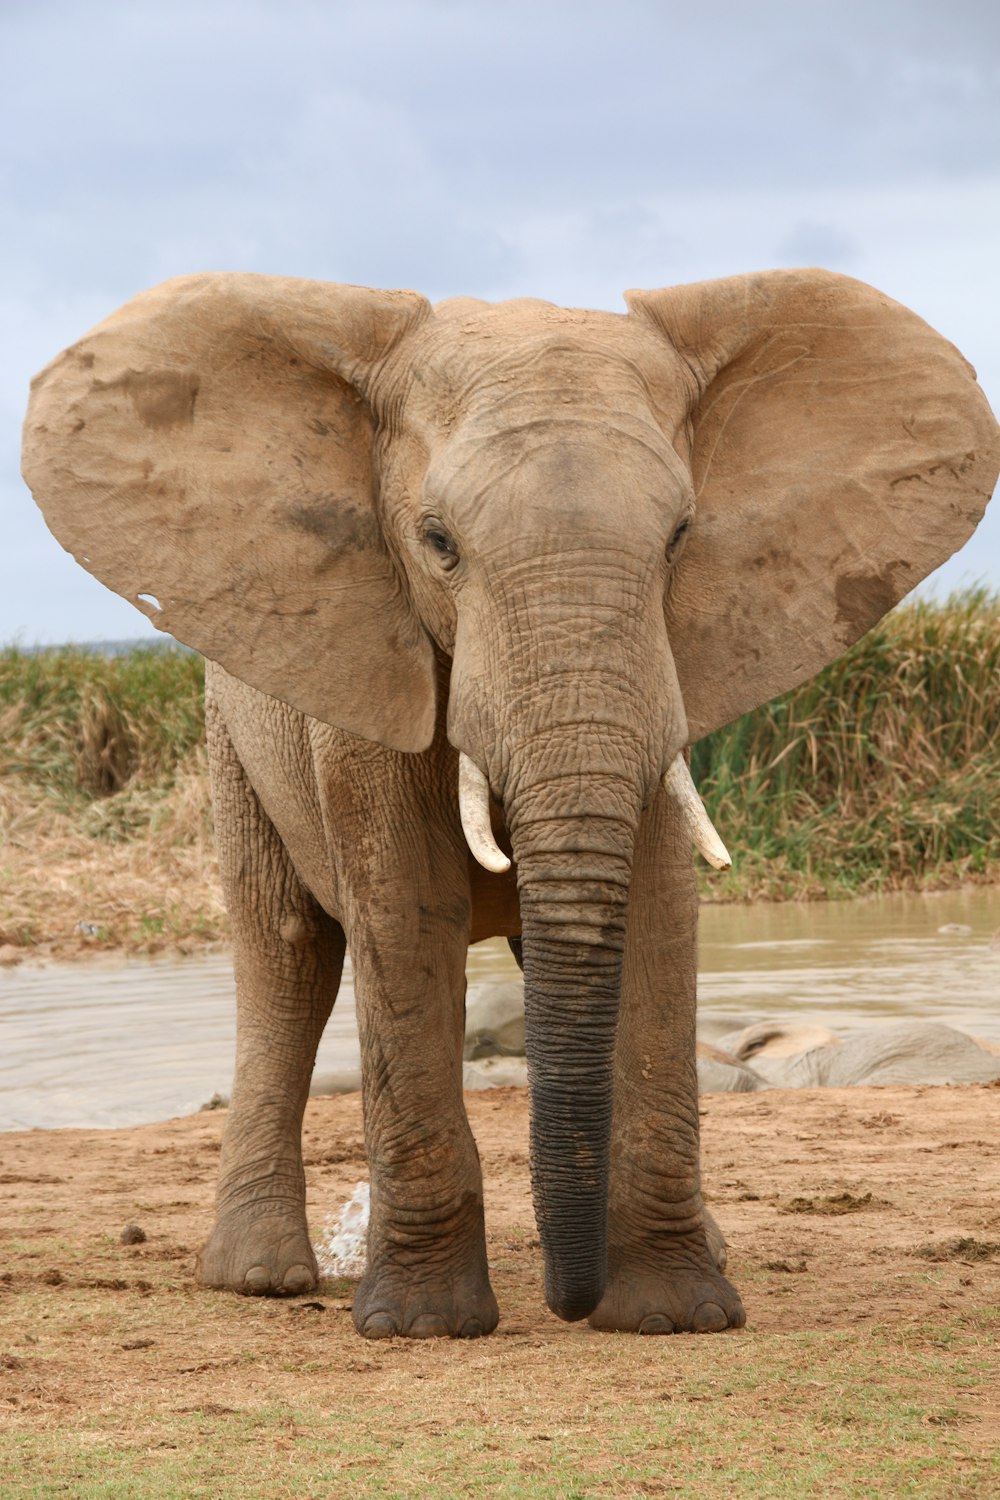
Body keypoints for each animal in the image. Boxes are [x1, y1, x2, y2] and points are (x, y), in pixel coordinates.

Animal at [23, 267, 1000, 1338]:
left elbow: (655, 911)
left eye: (681, 537)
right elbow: (405, 916)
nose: (574, 1306)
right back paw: (262, 1277)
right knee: (286, 953)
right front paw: (422, 1327)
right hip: (230, 730)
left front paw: (674, 1312)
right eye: (437, 542)